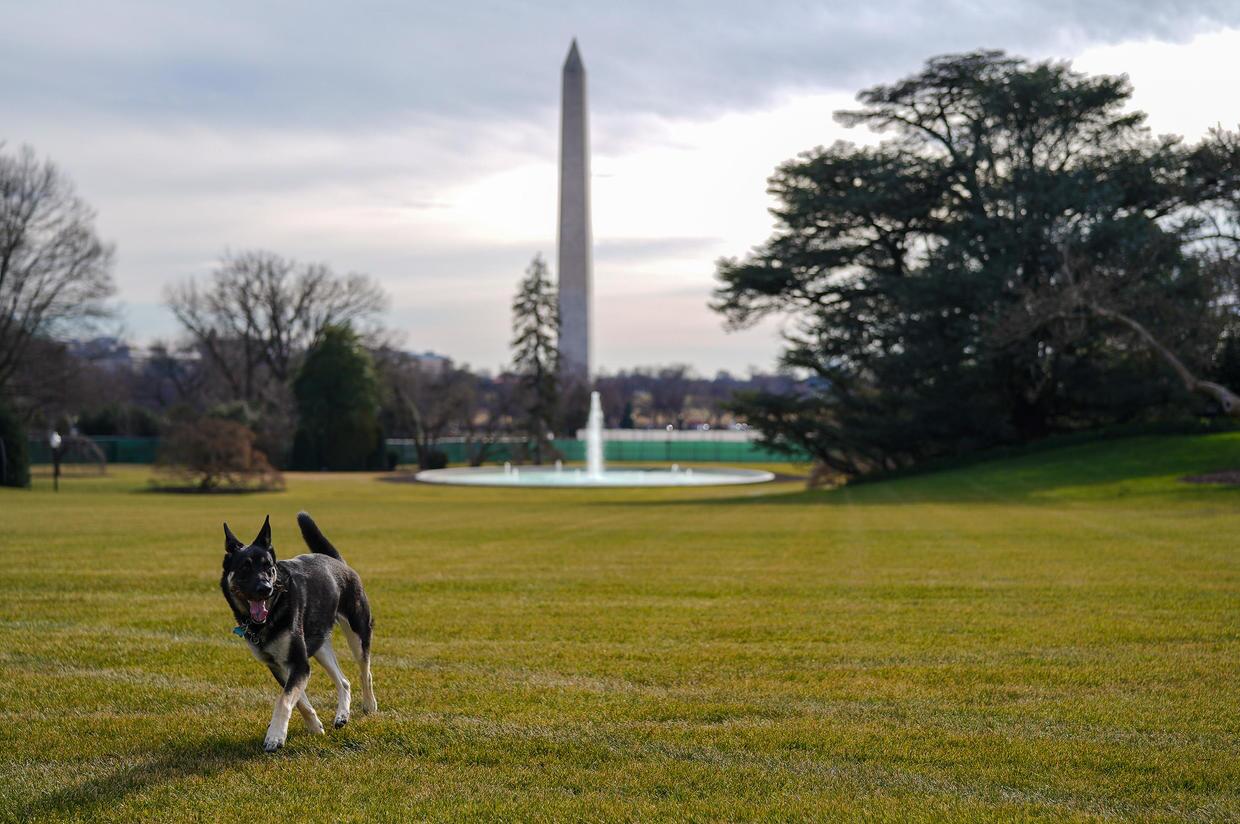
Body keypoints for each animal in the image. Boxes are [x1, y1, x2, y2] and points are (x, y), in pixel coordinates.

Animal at [219, 510, 372, 748]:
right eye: (245, 567)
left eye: (269, 567)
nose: (265, 588)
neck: (272, 611)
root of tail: (338, 562)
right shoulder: (279, 665)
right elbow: (297, 700)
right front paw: (315, 727)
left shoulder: (299, 663)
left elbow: (284, 699)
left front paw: (275, 736)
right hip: (319, 646)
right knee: (344, 681)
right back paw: (342, 716)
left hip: (357, 632)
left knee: (366, 671)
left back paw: (369, 705)